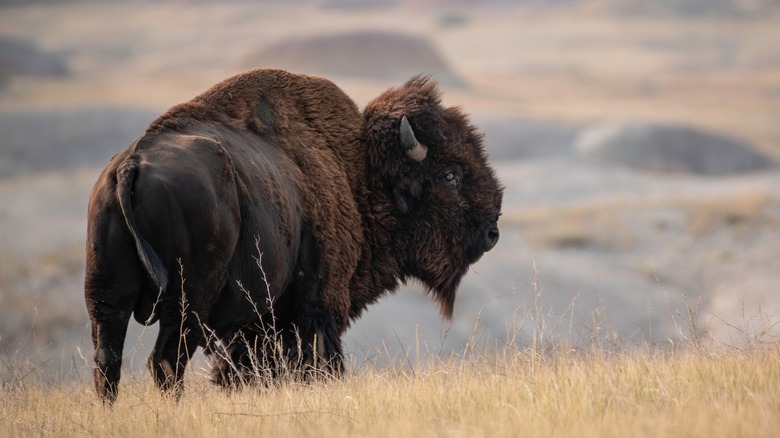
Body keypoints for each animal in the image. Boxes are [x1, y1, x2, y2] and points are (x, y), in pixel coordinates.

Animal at [84, 66, 500, 402]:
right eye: (449, 175)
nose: (492, 230)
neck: (359, 173)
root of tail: (131, 165)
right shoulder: (316, 307)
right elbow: (315, 363)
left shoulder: (250, 325)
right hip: (187, 302)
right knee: (165, 362)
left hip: (106, 297)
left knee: (108, 360)